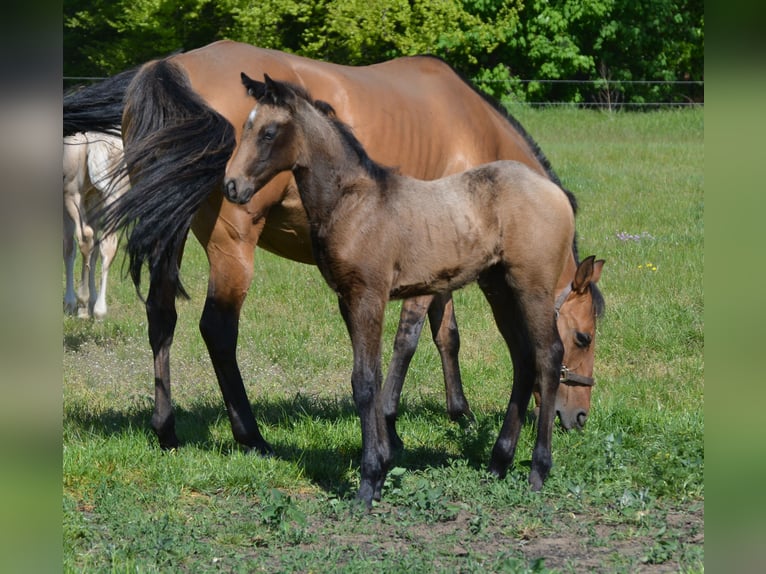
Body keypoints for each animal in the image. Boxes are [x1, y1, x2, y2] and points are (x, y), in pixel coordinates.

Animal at [63, 132, 127, 319]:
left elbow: (68, 248)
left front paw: (71, 303)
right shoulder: (93, 198)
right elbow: (95, 251)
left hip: (72, 195)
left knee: (84, 240)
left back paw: (83, 305)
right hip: (113, 196)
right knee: (107, 244)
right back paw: (98, 310)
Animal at [224, 74, 583, 504]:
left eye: (268, 132)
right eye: (245, 127)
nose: (232, 186)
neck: (353, 202)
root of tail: (556, 195)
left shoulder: (368, 296)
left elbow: (364, 382)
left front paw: (368, 481)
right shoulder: (348, 299)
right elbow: (374, 377)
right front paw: (381, 469)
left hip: (532, 287)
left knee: (547, 356)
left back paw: (537, 470)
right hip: (499, 288)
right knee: (524, 359)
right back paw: (498, 463)